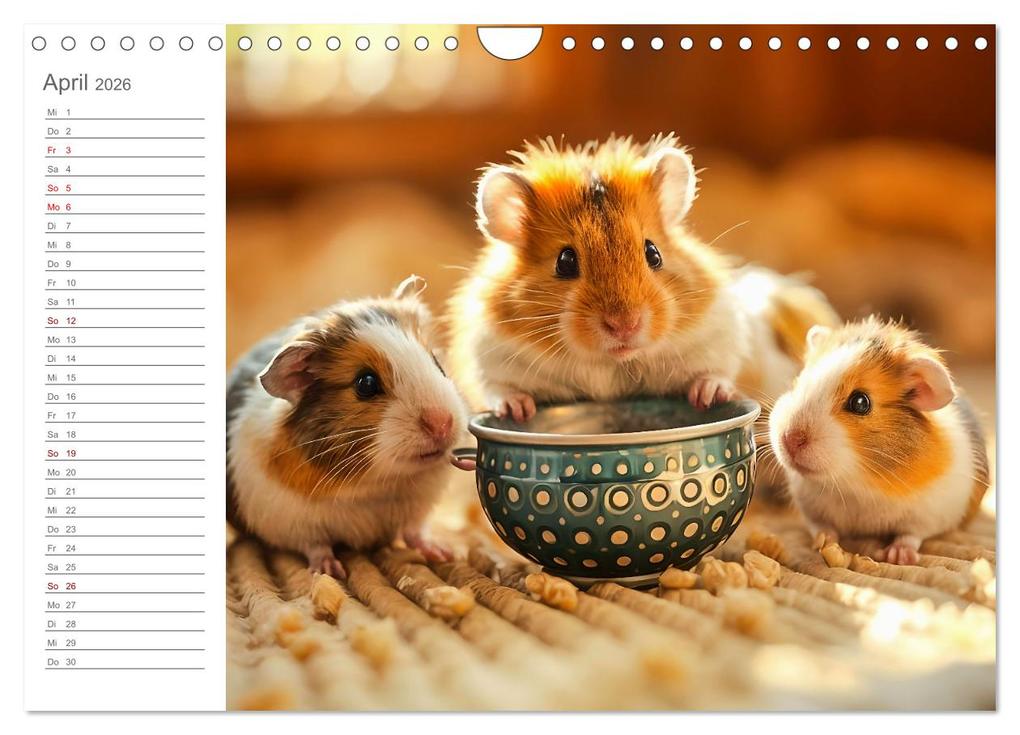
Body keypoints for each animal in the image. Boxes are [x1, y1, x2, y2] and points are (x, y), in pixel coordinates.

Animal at [227, 276, 468, 578]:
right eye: (366, 384)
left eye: (437, 363)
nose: (442, 423)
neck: (375, 486)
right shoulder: (293, 523)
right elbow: (316, 546)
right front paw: (329, 573)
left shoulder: (417, 508)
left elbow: (415, 532)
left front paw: (446, 553)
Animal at [447, 134, 838, 421]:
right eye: (565, 261)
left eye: (653, 253)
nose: (625, 325)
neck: (613, 362)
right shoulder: (493, 357)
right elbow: (500, 389)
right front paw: (516, 410)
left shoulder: (721, 337)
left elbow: (717, 370)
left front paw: (708, 395)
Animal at [768, 317, 990, 565]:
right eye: (799, 382)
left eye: (860, 402)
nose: (789, 438)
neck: (855, 483)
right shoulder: (810, 509)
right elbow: (822, 528)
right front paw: (824, 544)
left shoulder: (930, 514)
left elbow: (911, 535)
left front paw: (897, 557)